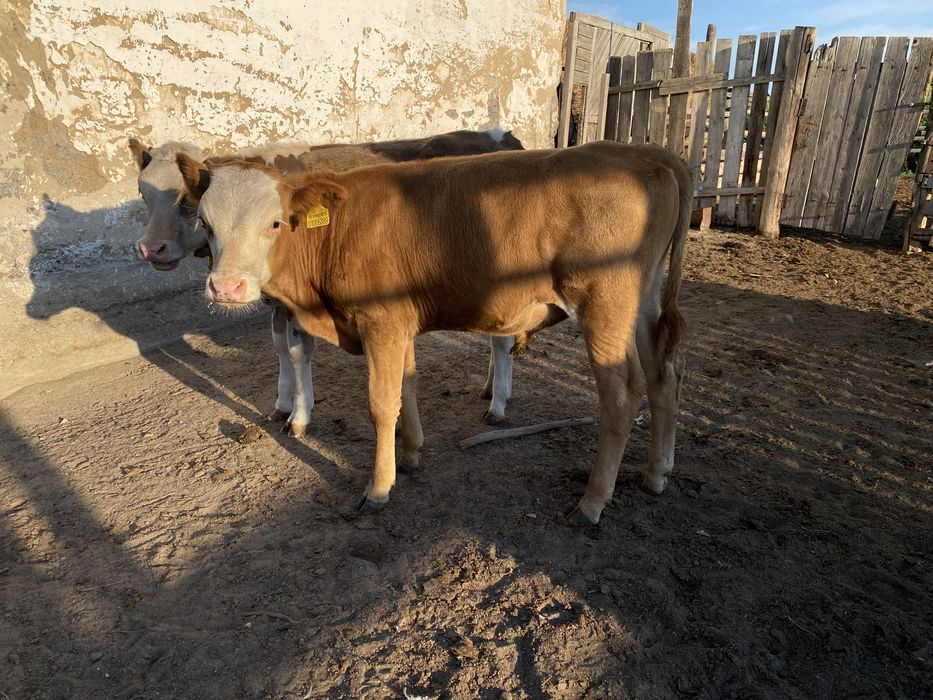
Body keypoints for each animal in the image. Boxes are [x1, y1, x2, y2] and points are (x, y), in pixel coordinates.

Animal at [128, 130, 524, 435]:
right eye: (143, 195)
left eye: (185, 200)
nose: (150, 248)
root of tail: (500, 136)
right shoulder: (277, 301)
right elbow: (279, 346)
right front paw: (281, 403)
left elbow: (298, 351)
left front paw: (300, 417)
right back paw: (489, 388)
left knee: (502, 338)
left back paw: (498, 404)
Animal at [176, 140, 691, 525]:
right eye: (206, 222)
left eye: (275, 222)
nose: (226, 287)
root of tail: (643, 153)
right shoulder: (399, 324)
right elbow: (407, 385)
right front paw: (411, 454)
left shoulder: (381, 322)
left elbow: (381, 403)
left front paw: (379, 486)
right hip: (642, 303)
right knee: (664, 375)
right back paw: (657, 473)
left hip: (605, 305)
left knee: (623, 394)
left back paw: (592, 501)